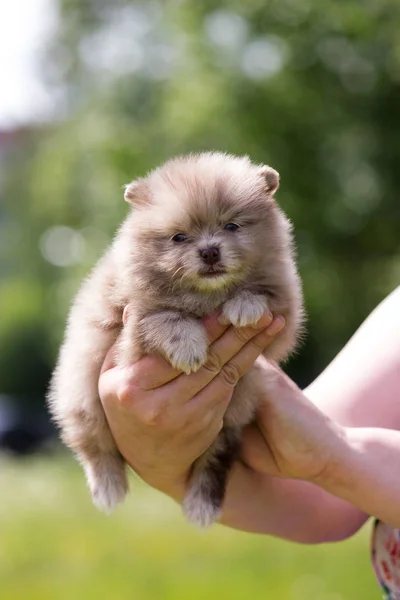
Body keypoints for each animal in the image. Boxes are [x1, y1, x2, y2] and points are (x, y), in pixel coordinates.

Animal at [47, 152, 304, 528]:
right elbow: (166, 318)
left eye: (231, 226)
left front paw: (244, 305)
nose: (209, 251)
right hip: (81, 396)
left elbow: (265, 297)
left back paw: (201, 504)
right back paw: (108, 488)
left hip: (231, 416)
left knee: (215, 457)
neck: (207, 295)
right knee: (93, 445)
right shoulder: (131, 327)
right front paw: (189, 348)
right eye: (179, 237)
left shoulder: (284, 317)